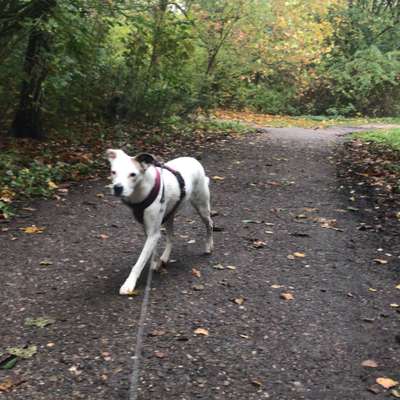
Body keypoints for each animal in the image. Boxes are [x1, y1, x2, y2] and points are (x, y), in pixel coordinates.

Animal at [105, 148, 212, 296]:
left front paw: (129, 283)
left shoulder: (153, 233)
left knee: (209, 225)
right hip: (169, 214)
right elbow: (152, 251)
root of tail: (193, 160)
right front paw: (156, 262)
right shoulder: (148, 230)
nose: (117, 188)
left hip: (202, 207)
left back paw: (208, 246)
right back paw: (165, 257)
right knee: (171, 236)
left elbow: (140, 261)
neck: (141, 191)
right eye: (113, 172)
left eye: (133, 174)